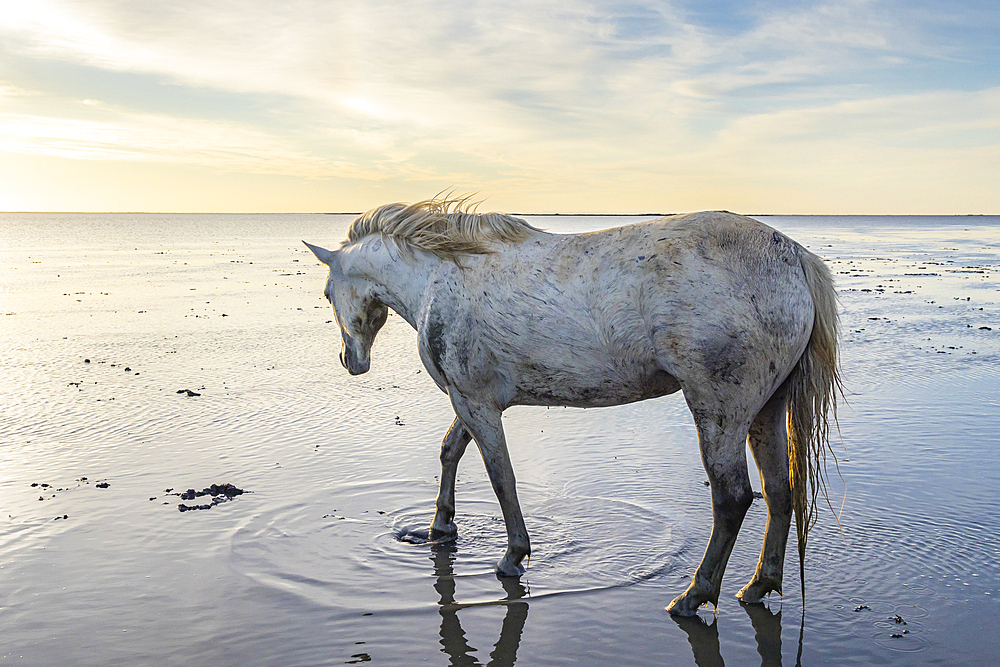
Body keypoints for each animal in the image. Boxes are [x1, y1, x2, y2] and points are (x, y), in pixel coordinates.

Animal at [302, 197, 836, 616]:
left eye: (327, 292)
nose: (351, 362)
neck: (440, 278)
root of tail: (794, 258)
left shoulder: (476, 402)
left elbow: (500, 476)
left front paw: (513, 556)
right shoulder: (469, 398)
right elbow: (450, 450)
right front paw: (440, 526)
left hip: (720, 413)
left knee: (733, 498)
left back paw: (694, 596)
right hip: (767, 410)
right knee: (780, 491)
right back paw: (758, 586)